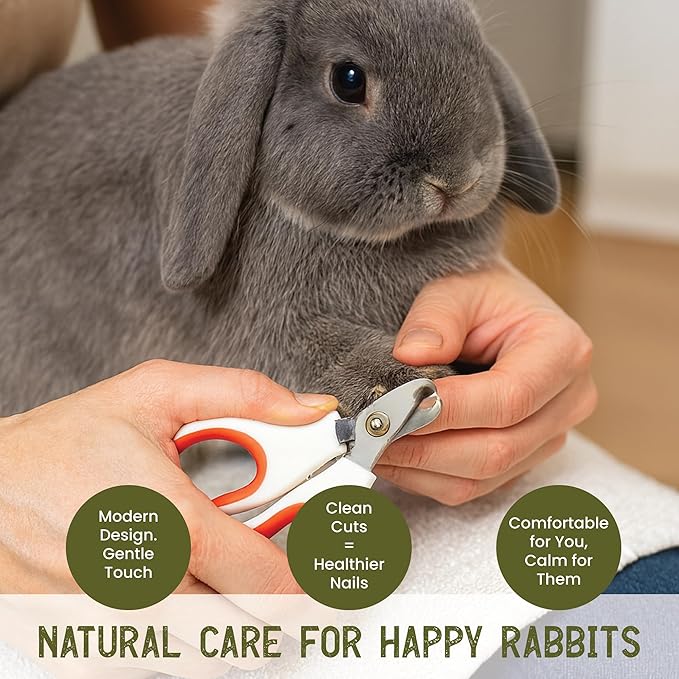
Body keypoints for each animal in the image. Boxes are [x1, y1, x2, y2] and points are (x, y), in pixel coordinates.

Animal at [0, 0, 559, 417]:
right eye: (348, 79)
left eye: (477, 55)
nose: (456, 179)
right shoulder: (271, 325)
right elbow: (317, 348)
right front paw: (393, 379)